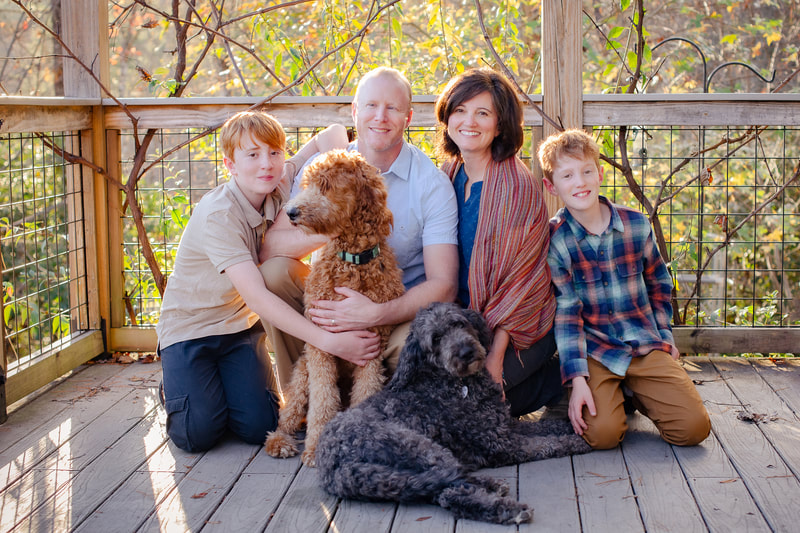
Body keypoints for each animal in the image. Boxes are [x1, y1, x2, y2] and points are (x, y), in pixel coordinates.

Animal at [316, 302, 592, 520]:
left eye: (458, 323)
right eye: (436, 339)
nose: (466, 352)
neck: (458, 383)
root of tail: (332, 468)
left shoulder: (505, 426)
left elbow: (543, 427)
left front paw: (568, 424)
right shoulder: (502, 444)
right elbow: (546, 444)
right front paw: (577, 442)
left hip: (399, 473)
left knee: (443, 486)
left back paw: (491, 488)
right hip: (419, 447)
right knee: (450, 490)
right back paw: (509, 508)